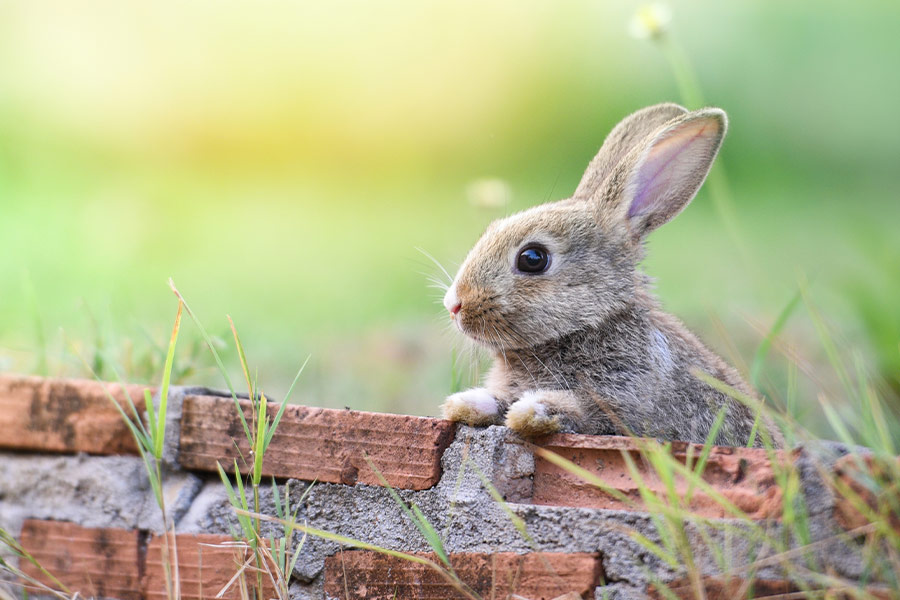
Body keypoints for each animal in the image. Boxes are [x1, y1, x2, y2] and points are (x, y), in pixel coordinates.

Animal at [441, 103, 782, 448]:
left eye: (533, 258)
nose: (454, 304)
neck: (589, 324)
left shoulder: (622, 402)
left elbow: (582, 410)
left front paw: (532, 411)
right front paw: (465, 403)